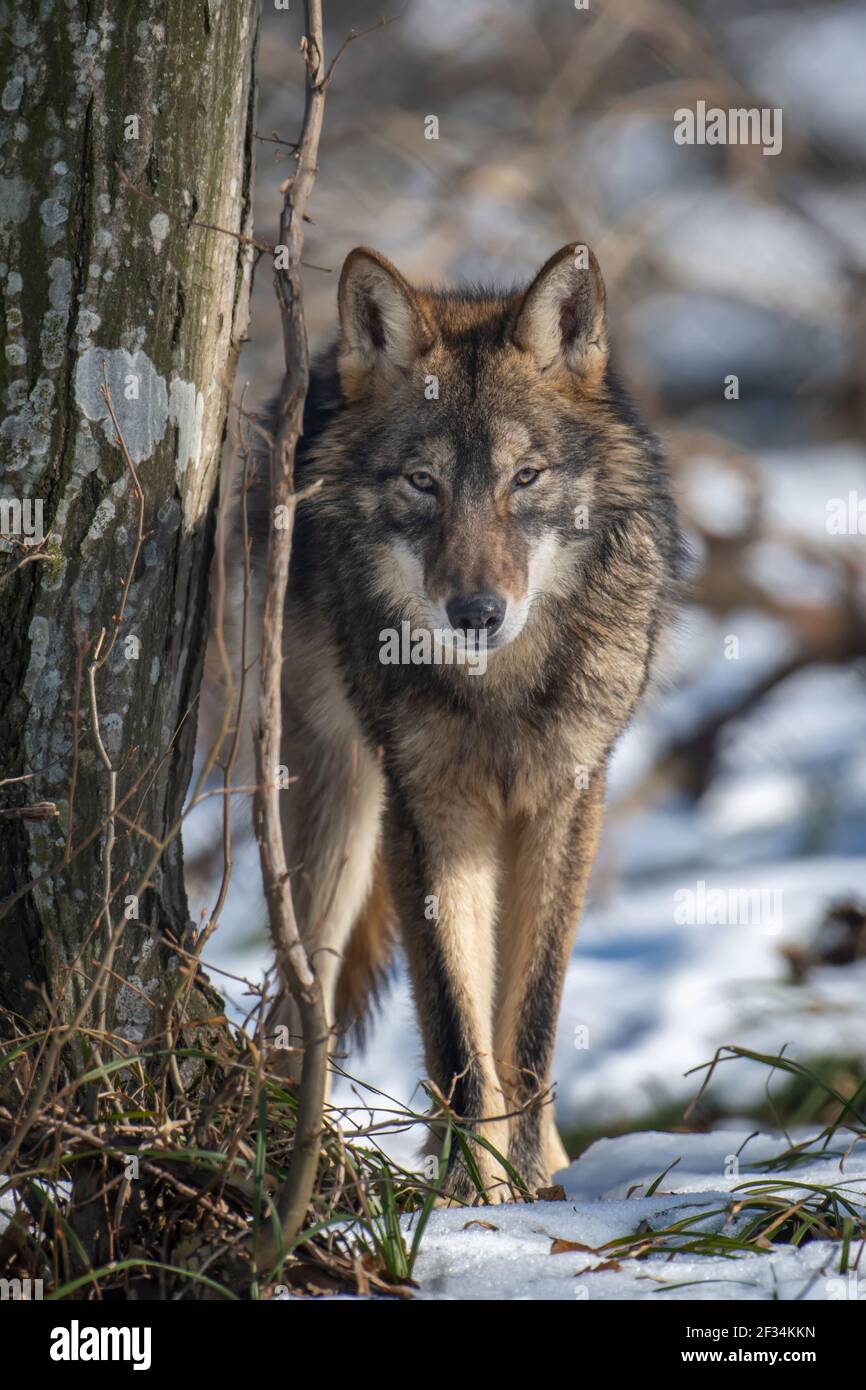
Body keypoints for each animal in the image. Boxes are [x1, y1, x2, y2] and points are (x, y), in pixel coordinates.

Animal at [260, 242, 684, 1203]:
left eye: (523, 479)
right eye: (424, 483)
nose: (478, 612)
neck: (501, 688)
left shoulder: (569, 800)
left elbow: (527, 1027)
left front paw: (527, 1188)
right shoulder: (428, 811)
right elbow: (456, 1032)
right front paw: (470, 1199)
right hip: (341, 810)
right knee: (306, 995)